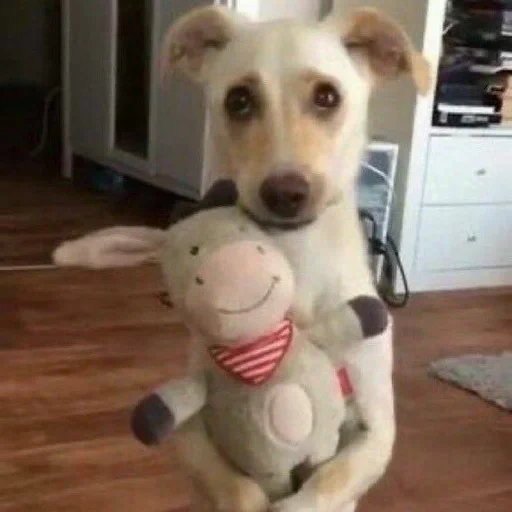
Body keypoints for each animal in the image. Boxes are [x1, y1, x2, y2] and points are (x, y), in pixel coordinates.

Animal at [53, 5, 428, 512]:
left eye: (327, 96)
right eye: (239, 100)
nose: (285, 193)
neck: (296, 267)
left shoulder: (377, 431)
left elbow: (329, 481)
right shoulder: (193, 432)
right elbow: (238, 488)